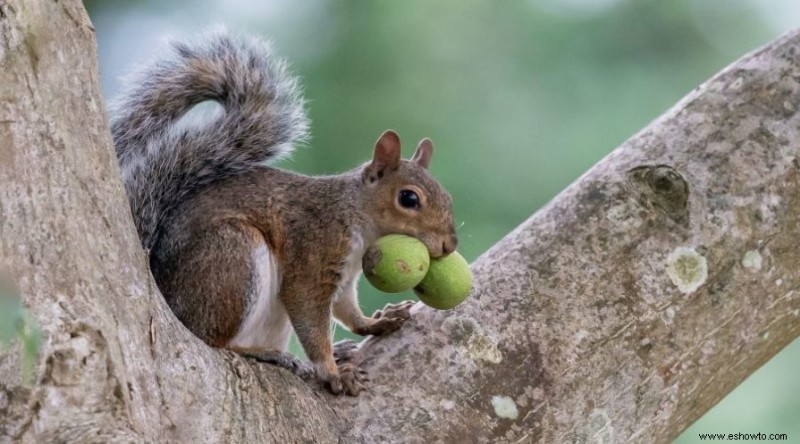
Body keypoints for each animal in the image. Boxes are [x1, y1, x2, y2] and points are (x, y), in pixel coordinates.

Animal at [109, 28, 456, 396]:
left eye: (447, 196)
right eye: (409, 199)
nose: (450, 245)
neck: (355, 218)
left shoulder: (345, 278)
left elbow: (347, 310)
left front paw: (376, 323)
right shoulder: (314, 254)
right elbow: (309, 314)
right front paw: (333, 372)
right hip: (230, 259)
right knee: (215, 340)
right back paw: (270, 354)